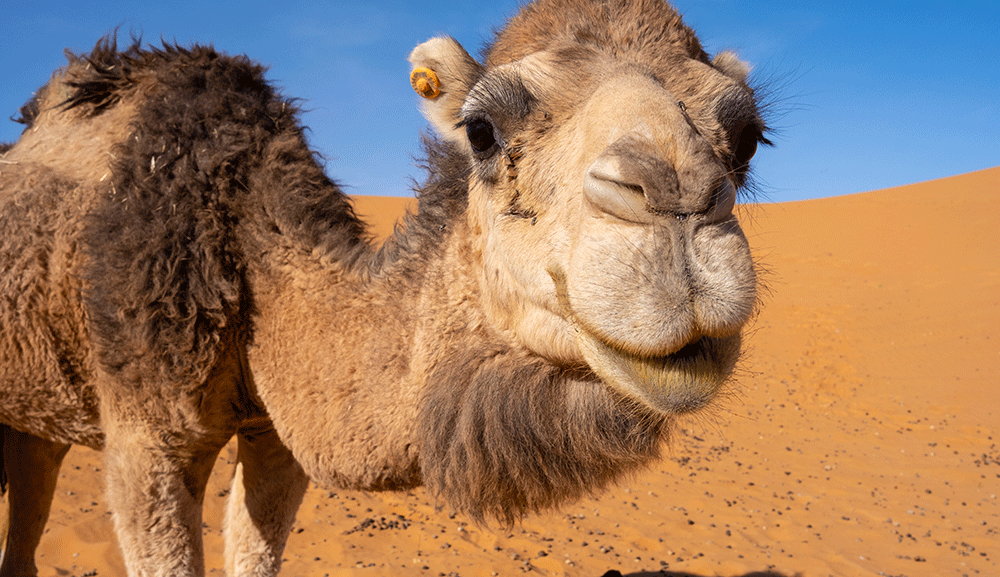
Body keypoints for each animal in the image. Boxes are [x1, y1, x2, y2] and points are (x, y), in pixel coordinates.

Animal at [0, 0, 771, 574]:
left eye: (747, 137)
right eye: (481, 130)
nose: (678, 198)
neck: (245, 254)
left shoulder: (275, 434)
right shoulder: (145, 437)